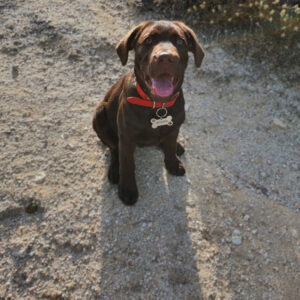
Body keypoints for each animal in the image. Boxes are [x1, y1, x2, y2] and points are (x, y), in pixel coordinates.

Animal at [92, 19, 205, 205]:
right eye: (149, 40)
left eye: (179, 41)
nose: (165, 57)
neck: (157, 105)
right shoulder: (126, 137)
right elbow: (127, 163)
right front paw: (127, 189)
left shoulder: (174, 127)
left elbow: (170, 147)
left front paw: (173, 163)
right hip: (99, 114)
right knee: (114, 148)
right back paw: (115, 170)